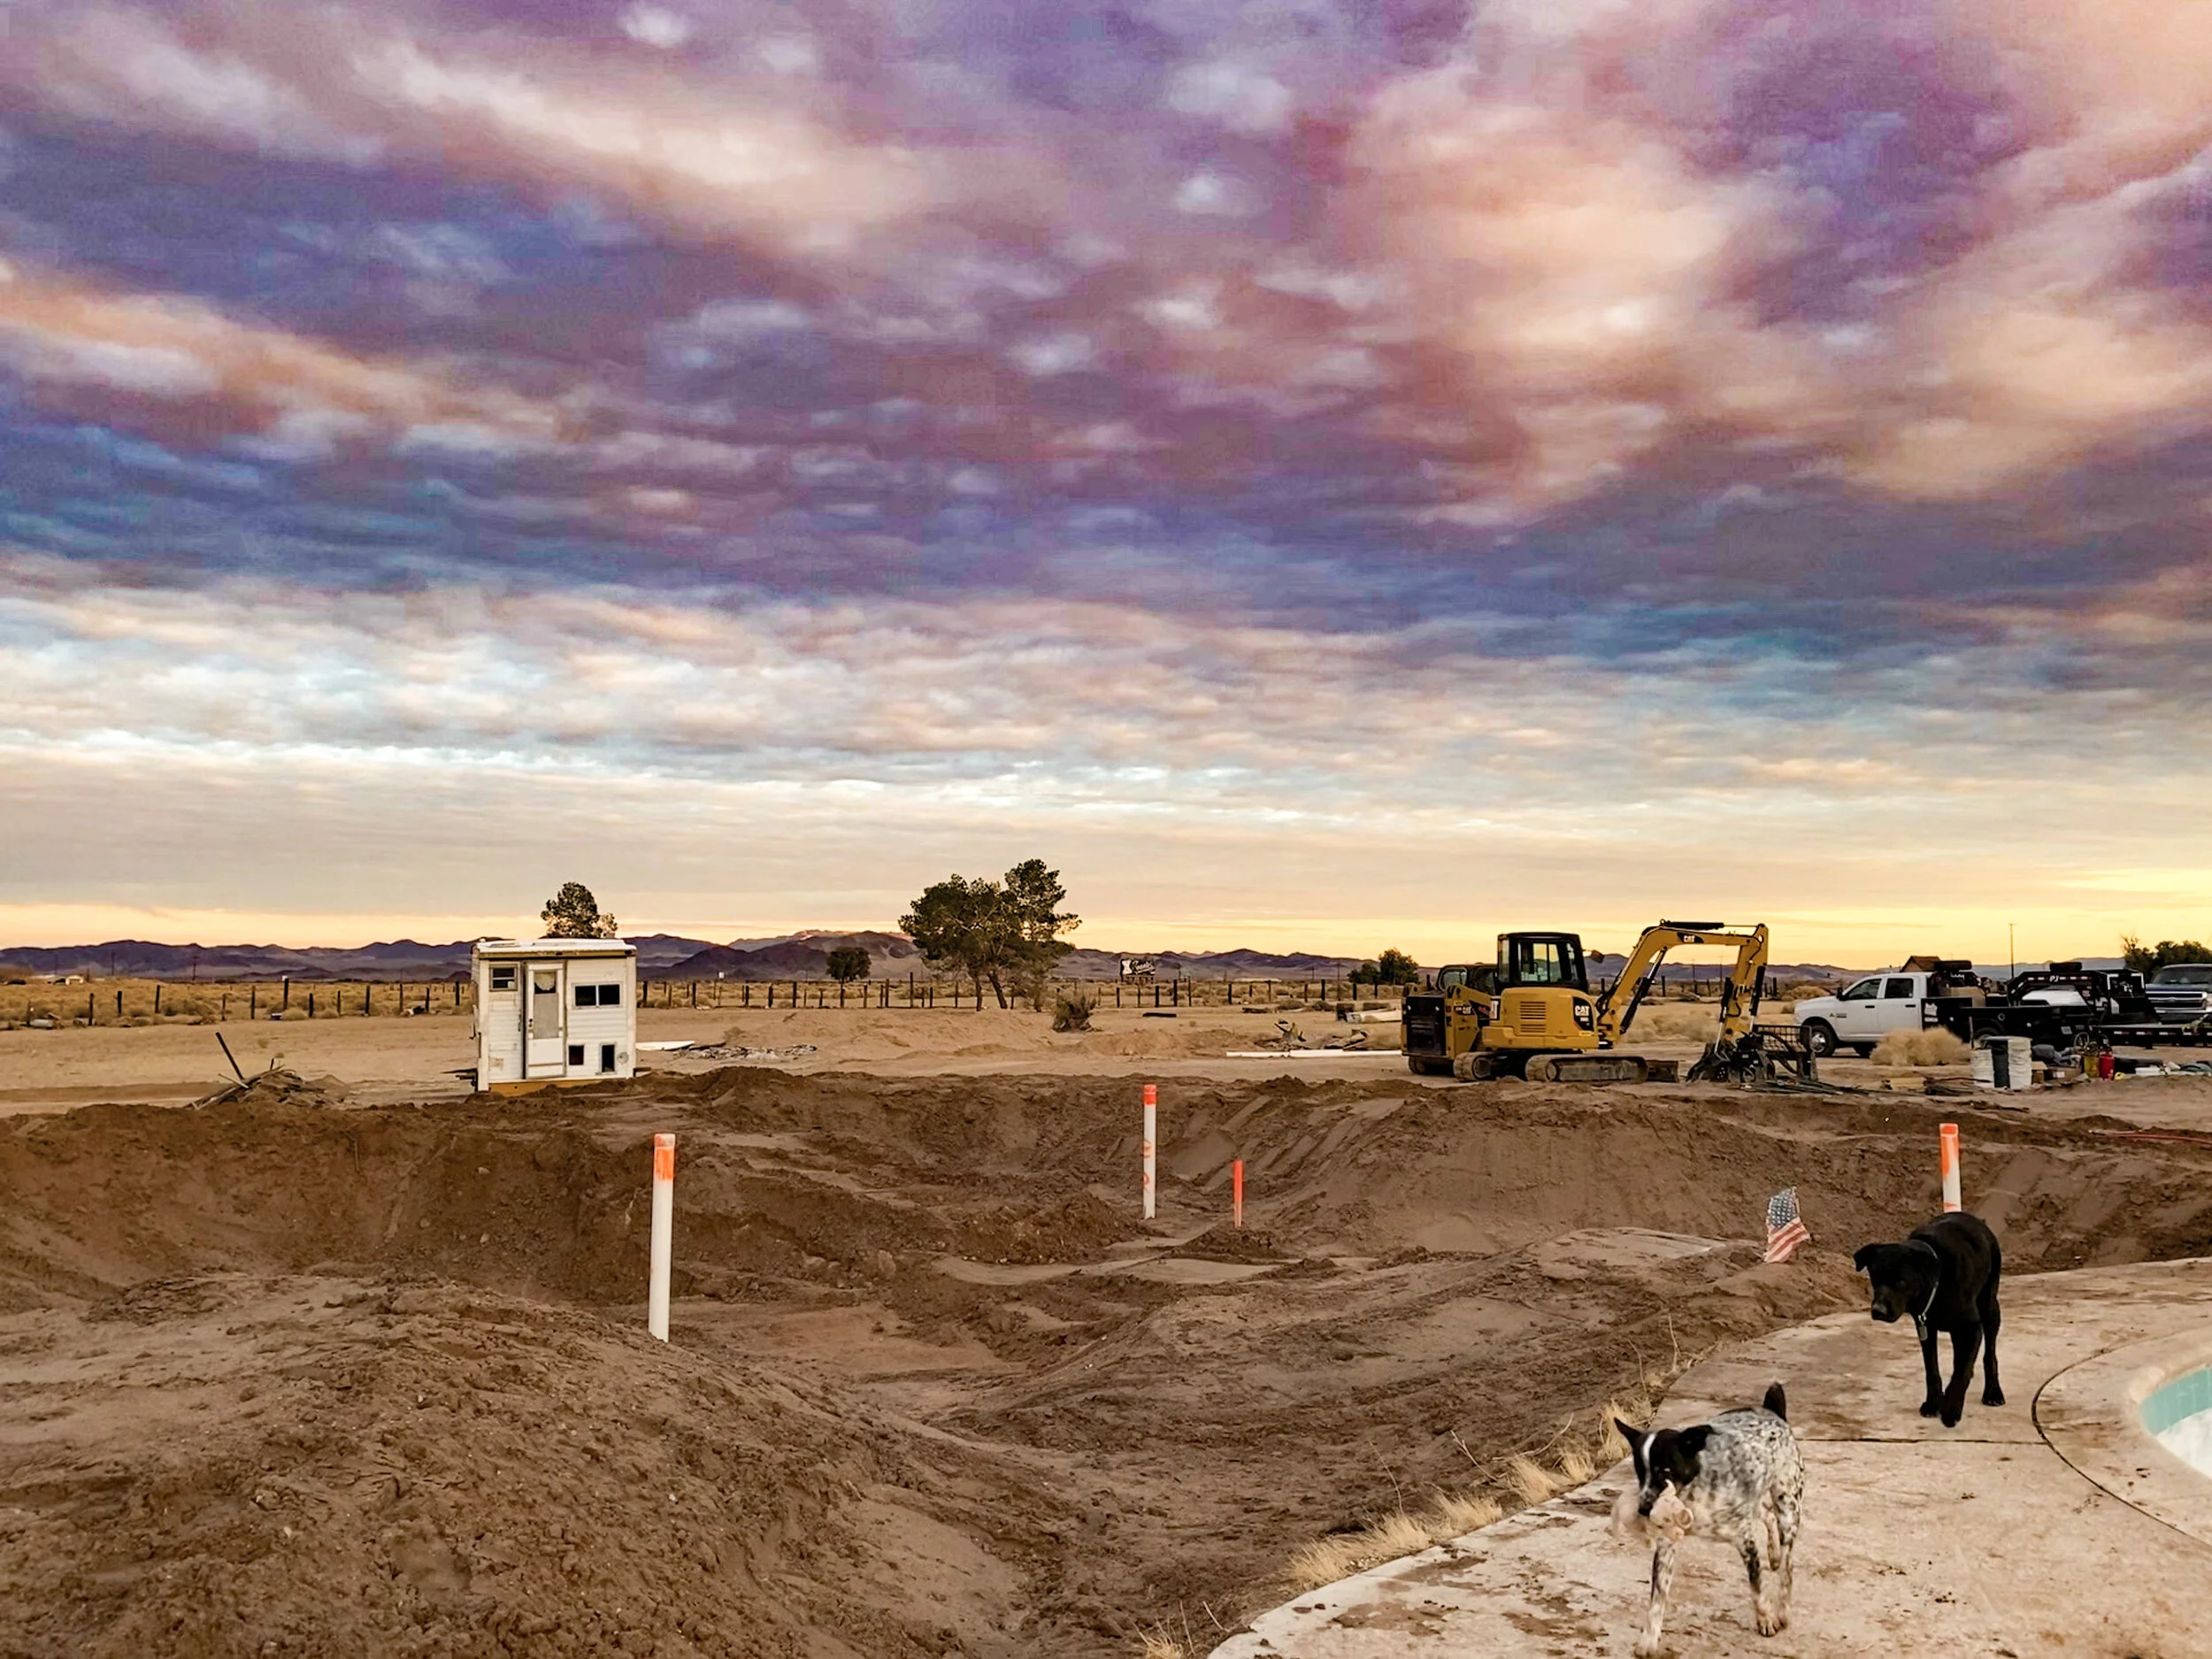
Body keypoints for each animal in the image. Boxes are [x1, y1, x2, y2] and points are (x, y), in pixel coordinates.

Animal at [1619, 1380, 1805, 1655]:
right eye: (1640, 1473)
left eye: (1664, 1471)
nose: (1643, 1509)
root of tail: (1773, 1412)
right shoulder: (1666, 1547)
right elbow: (1657, 1600)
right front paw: (1649, 1640)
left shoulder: (1746, 1542)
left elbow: (1757, 1588)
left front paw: (1765, 1619)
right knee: (1767, 1516)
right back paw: (1773, 1554)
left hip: (1788, 1506)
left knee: (1788, 1565)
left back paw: (1782, 1606)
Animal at [1849, 1212, 2008, 1433]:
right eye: (1875, 1278)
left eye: (1901, 1281)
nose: (1878, 1311)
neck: (1937, 1281)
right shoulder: (1924, 1327)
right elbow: (1932, 1369)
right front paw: (1933, 1404)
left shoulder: (1971, 1328)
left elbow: (1961, 1373)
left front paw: (1950, 1410)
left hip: (1990, 1306)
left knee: (1989, 1354)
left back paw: (1993, 1392)